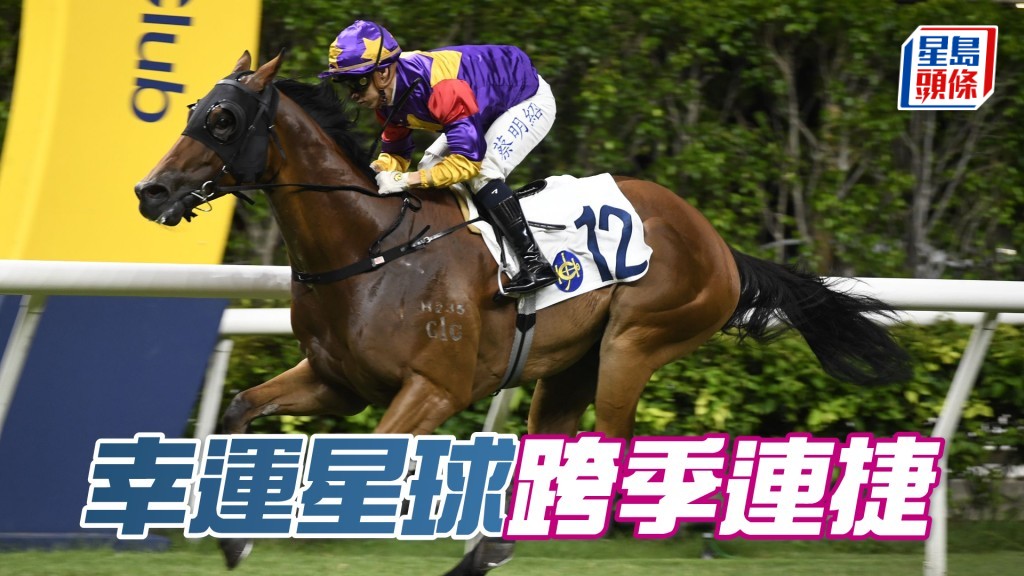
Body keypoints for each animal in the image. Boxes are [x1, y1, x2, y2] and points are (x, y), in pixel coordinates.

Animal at [134, 51, 910, 574]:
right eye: (191, 110)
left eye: (225, 119)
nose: (151, 190)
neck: (371, 248)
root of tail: (720, 245)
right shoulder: (336, 381)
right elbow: (239, 406)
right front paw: (233, 537)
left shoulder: (435, 388)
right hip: (568, 368)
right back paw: (488, 549)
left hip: (635, 343)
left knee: (614, 452)